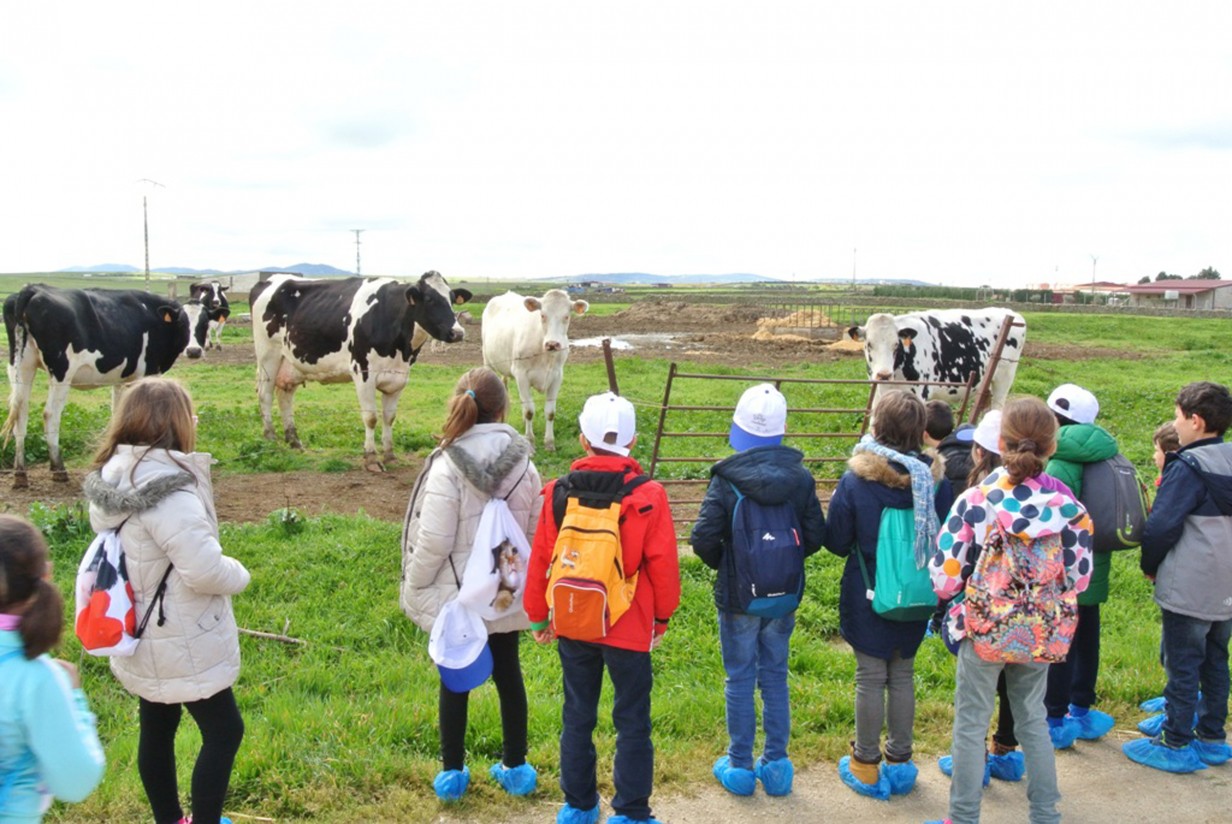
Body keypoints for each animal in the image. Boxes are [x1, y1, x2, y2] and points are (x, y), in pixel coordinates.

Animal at [2, 285, 192, 485]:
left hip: (21, 367)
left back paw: (20, 474)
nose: (194, 351)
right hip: (61, 372)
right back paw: (58, 469)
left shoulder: (121, 380)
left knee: (20, 414)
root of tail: (34, 288)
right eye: (184, 323)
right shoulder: (148, 374)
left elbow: (119, 413)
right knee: (50, 414)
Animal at [248, 268, 470, 465]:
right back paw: (270, 439)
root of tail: (272, 279)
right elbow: (371, 418)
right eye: (430, 299)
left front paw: (390, 455)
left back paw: (294, 442)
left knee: (284, 395)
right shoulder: (363, 374)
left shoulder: (398, 378)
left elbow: (389, 418)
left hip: (292, 362)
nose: (458, 333)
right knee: (265, 395)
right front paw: (371, 458)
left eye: (452, 298)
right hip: (268, 355)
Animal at [482, 290, 588, 450]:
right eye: (542, 315)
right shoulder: (521, 374)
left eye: (566, 316)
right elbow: (529, 411)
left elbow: (550, 412)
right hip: (488, 362)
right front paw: (530, 442)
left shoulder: (557, 375)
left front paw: (549, 443)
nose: (552, 344)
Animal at [847, 306, 1029, 408]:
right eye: (869, 344)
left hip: (1004, 379)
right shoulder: (879, 392)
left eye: (896, 345)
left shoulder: (919, 394)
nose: (884, 375)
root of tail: (1010, 313)